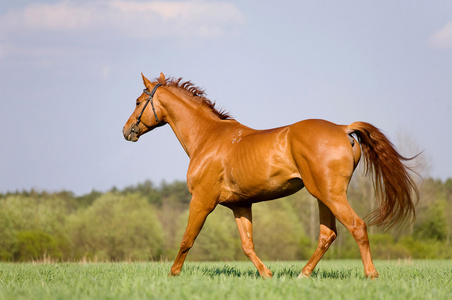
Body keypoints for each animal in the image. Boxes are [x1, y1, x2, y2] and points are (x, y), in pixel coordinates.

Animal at [122, 72, 418, 278]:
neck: (208, 138)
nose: (126, 131)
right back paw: (303, 274)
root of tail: (343, 128)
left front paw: (173, 274)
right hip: (323, 196)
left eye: (138, 102)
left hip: (330, 194)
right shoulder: (240, 205)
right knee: (328, 234)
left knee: (357, 226)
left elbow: (187, 239)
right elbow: (247, 245)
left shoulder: (202, 201)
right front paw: (267, 274)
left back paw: (371, 274)